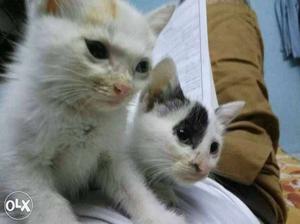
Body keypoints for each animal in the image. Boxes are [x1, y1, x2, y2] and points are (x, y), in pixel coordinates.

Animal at [0, 1, 185, 224]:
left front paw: (159, 216)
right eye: (96, 49)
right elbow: (50, 205)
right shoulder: (20, 165)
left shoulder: (112, 155)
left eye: (142, 66)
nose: (124, 88)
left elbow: (133, 187)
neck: (83, 114)